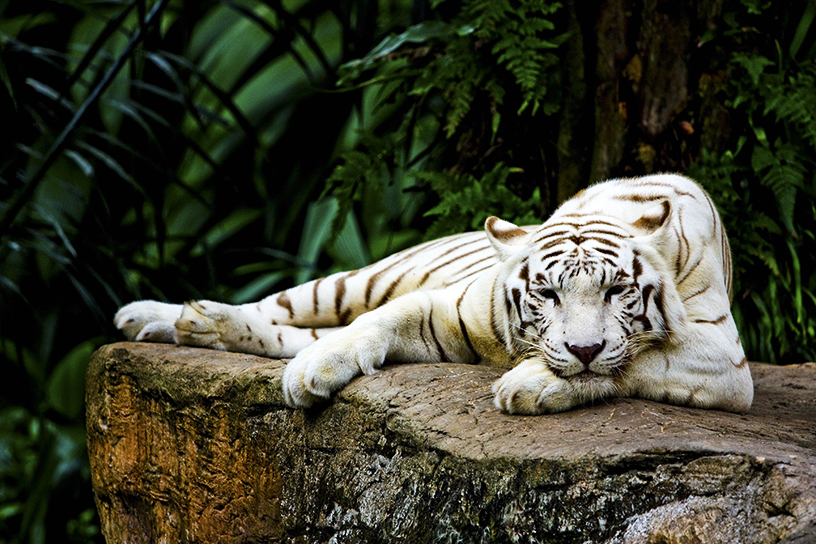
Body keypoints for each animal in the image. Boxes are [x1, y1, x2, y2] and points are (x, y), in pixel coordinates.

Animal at [115, 176, 752, 414]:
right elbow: (376, 321)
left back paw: (191, 324)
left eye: (618, 290)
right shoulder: (447, 306)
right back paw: (161, 316)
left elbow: (636, 358)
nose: (583, 348)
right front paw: (314, 373)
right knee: (283, 308)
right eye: (546, 294)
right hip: (350, 281)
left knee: (284, 334)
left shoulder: (725, 358)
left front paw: (530, 384)